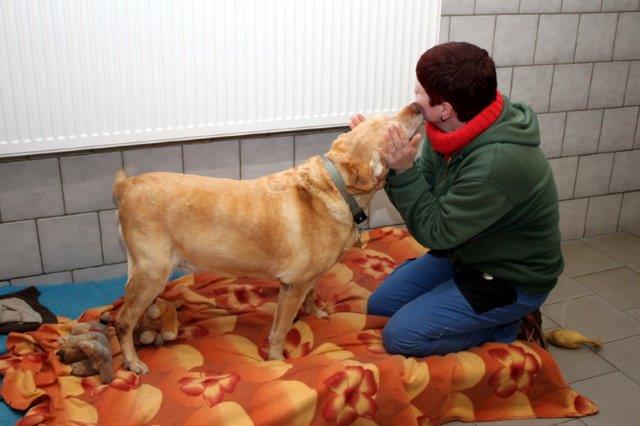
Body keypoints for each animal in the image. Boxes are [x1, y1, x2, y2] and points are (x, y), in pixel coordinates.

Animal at [112, 104, 422, 372]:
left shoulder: (308, 280)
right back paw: (133, 362)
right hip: (153, 273)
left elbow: (312, 295)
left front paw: (315, 313)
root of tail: (126, 186)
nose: (418, 106)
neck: (337, 187)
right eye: (391, 126)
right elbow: (280, 329)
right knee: (122, 321)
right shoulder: (292, 287)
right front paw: (276, 359)